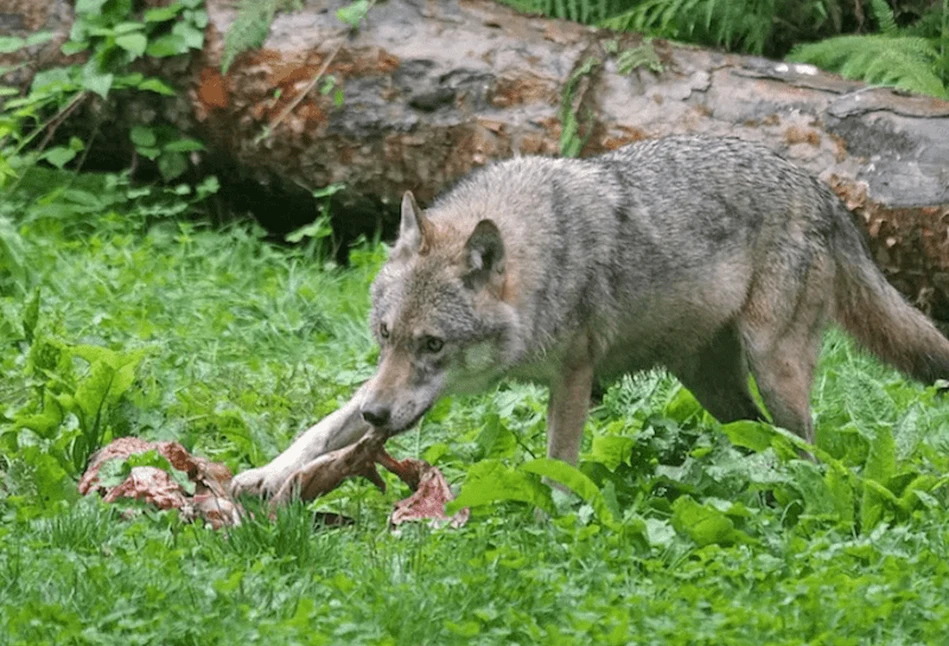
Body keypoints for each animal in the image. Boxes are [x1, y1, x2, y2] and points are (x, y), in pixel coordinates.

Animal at [230, 137, 948, 498]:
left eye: (432, 345)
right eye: (387, 336)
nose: (380, 418)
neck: (541, 255)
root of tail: (821, 189)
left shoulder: (574, 377)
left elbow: (560, 462)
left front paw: (558, 524)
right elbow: (321, 429)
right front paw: (265, 475)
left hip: (772, 368)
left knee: (808, 448)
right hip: (712, 385)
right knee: (759, 435)